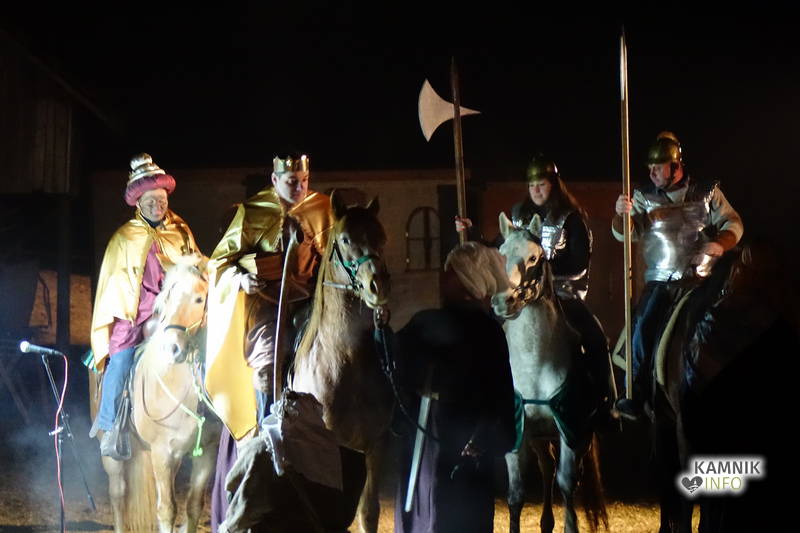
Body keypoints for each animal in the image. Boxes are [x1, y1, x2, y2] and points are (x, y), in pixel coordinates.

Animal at [96, 257, 222, 533]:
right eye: (167, 299)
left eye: (199, 299)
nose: (172, 348)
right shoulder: (162, 452)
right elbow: (166, 510)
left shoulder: (207, 453)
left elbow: (193, 506)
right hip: (115, 458)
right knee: (118, 494)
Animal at [492, 212, 607, 533]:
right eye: (500, 254)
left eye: (534, 257)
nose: (502, 301)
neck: (535, 362)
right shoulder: (517, 432)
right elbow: (516, 495)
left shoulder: (572, 429)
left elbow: (567, 486)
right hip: (540, 437)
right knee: (547, 467)